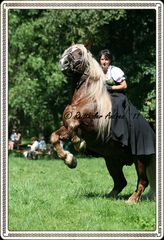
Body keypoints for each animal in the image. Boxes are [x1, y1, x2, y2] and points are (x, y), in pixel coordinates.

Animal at [50, 43, 156, 202]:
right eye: (68, 51)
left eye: (79, 53)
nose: (63, 63)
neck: (86, 97)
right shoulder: (66, 128)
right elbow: (54, 136)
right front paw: (70, 160)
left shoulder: (92, 127)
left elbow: (74, 125)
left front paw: (79, 144)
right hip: (112, 160)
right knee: (121, 182)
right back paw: (109, 197)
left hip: (140, 160)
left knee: (143, 181)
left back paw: (131, 200)